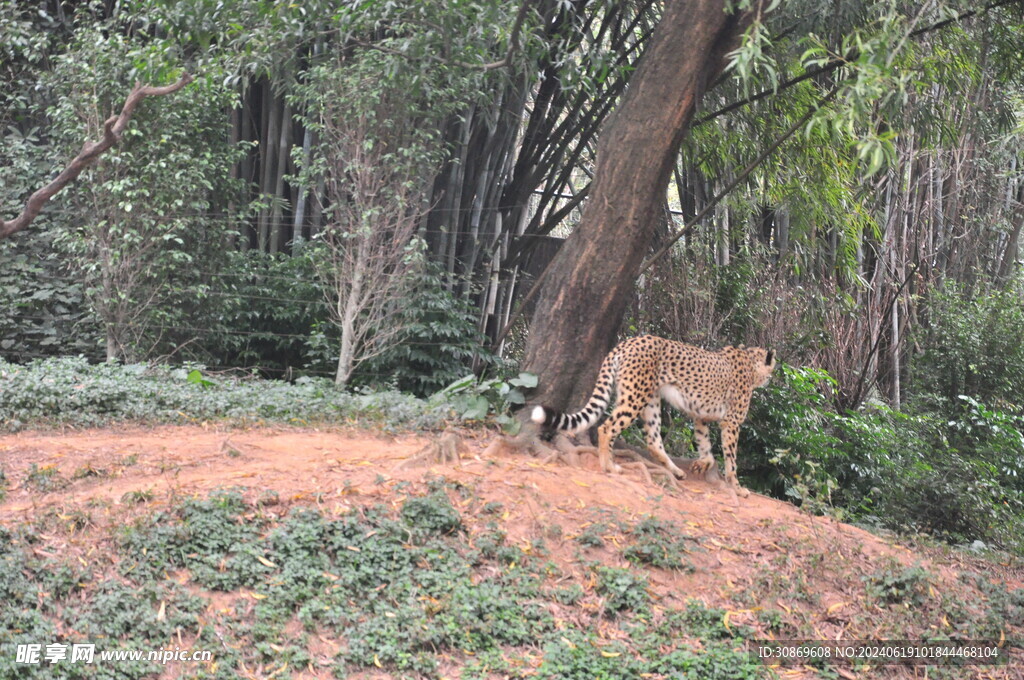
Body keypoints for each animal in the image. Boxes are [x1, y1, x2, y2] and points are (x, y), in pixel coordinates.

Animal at [528, 333, 774, 493]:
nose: (771, 378)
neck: (751, 362)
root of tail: (629, 341)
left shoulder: (700, 415)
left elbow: (705, 445)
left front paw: (702, 464)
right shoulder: (731, 423)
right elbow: (731, 459)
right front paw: (738, 488)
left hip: (651, 401)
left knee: (653, 440)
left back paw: (676, 471)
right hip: (636, 397)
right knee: (607, 427)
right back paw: (609, 466)